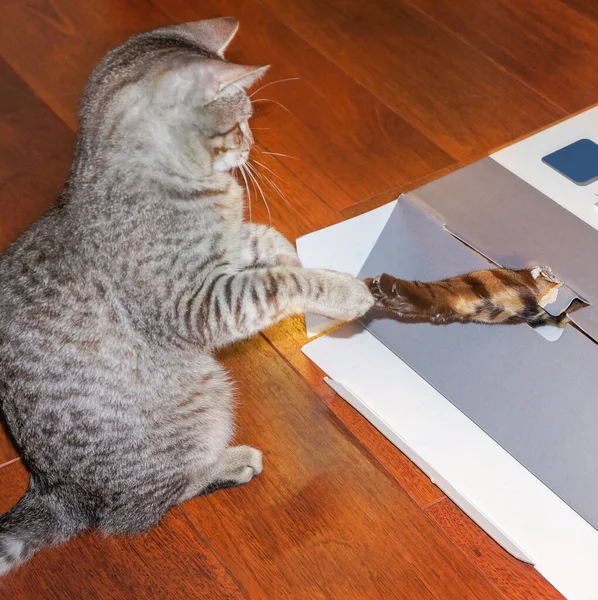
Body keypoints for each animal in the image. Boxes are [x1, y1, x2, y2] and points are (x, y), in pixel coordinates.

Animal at [0, 16, 376, 576]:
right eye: (240, 122)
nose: (251, 144)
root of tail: (55, 492)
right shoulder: (198, 303)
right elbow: (277, 282)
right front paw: (341, 290)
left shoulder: (230, 250)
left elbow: (268, 241)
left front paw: (294, 259)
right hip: (206, 395)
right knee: (142, 508)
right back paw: (231, 463)